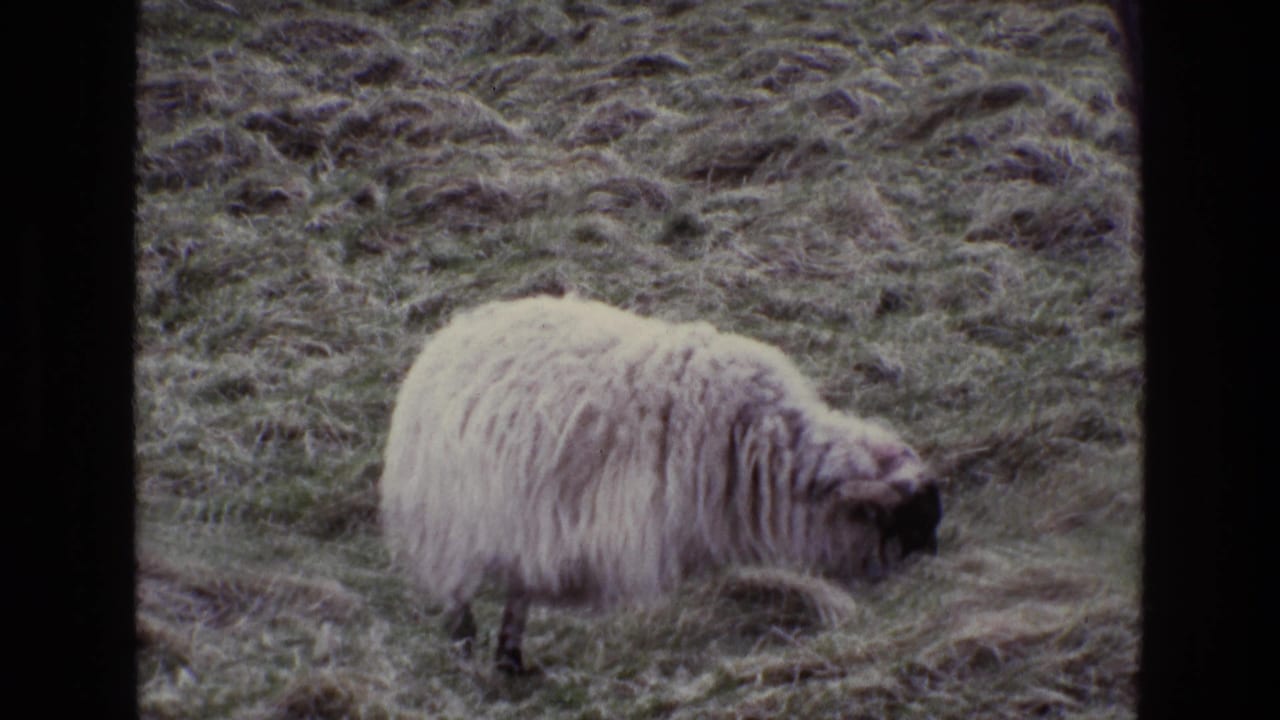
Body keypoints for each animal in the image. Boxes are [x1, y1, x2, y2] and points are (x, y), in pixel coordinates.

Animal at [380, 294, 942, 673]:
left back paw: (511, 661)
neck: (758, 438)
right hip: (454, 521)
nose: (934, 566)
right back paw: (469, 653)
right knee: (459, 596)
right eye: (907, 520)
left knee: (518, 592)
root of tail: (448, 337)